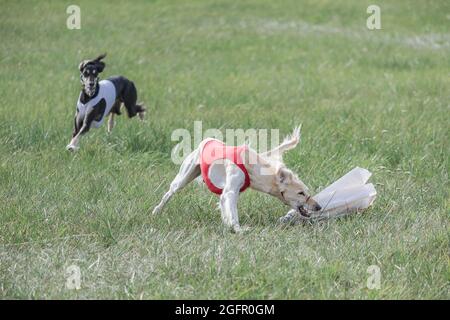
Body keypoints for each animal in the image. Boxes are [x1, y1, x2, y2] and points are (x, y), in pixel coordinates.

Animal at [153, 127, 322, 232]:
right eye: (301, 193)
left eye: (307, 192)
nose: (318, 206)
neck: (252, 167)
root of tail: (207, 139)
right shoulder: (230, 192)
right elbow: (232, 212)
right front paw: (239, 229)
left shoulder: (232, 192)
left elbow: (225, 208)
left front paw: (228, 225)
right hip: (184, 177)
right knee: (169, 193)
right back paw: (156, 211)